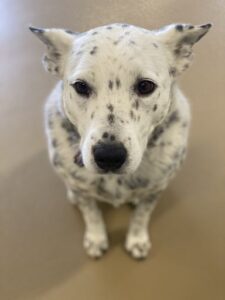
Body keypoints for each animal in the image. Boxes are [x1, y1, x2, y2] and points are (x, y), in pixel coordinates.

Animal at [29, 22, 211, 258]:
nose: (109, 156)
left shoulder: (156, 190)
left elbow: (142, 216)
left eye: (145, 86)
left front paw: (137, 239)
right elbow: (92, 214)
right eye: (80, 86)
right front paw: (96, 238)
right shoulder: (85, 193)